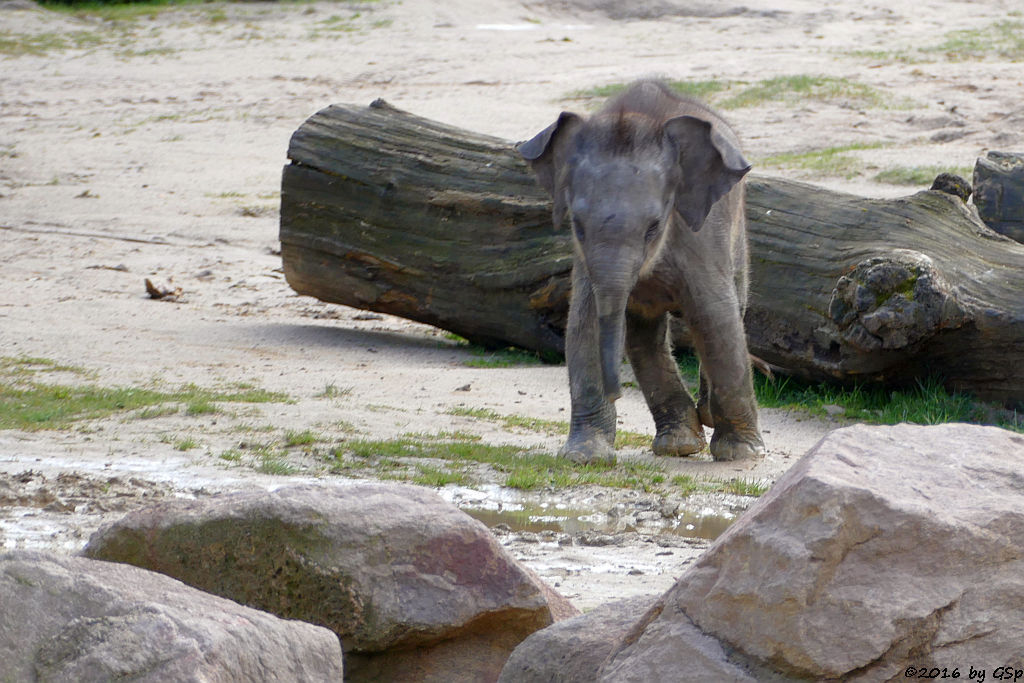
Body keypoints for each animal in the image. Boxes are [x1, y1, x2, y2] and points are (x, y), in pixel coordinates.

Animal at [520, 78, 770, 464]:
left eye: (653, 227)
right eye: (577, 226)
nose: (617, 394)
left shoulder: (700, 238)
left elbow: (715, 319)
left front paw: (741, 454)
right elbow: (585, 323)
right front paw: (585, 457)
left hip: (737, 233)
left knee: (732, 308)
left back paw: (704, 420)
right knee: (645, 335)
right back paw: (678, 444)